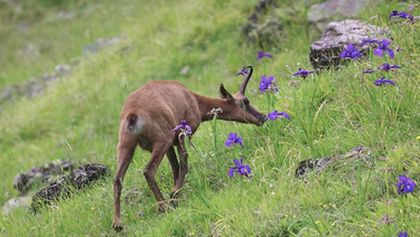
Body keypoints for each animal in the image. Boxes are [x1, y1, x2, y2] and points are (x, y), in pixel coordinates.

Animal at [111, 65, 266, 231]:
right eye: (246, 102)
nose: (262, 117)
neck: (191, 97)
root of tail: (132, 113)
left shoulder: (170, 147)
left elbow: (175, 168)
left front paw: (175, 198)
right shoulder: (181, 136)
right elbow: (184, 163)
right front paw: (173, 196)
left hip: (127, 147)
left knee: (117, 179)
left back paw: (118, 224)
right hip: (161, 142)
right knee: (148, 170)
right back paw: (163, 206)